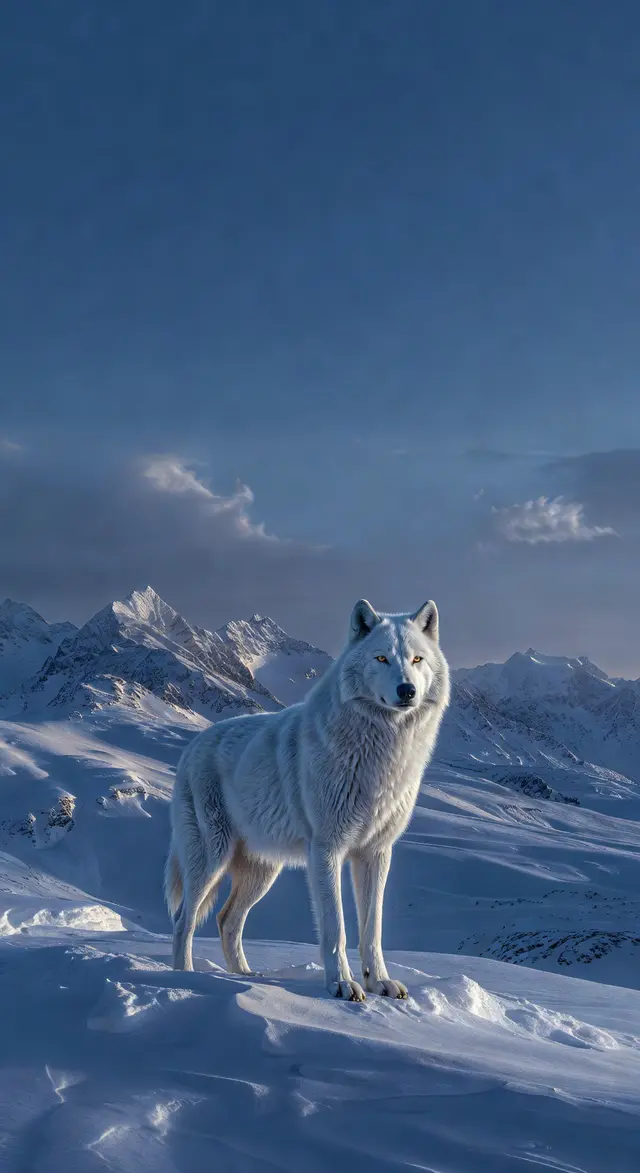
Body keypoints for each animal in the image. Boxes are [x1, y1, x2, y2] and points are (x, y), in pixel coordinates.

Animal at [165, 598, 450, 1000]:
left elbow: (372, 930)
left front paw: (379, 981)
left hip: (262, 873)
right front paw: (342, 985)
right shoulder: (327, 850)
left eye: (416, 659)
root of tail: (192, 746)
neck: (381, 755)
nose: (406, 690)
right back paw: (186, 976)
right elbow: (336, 927)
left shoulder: (376, 853)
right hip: (210, 859)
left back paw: (246, 976)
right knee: (182, 920)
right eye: (381, 658)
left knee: (226, 920)